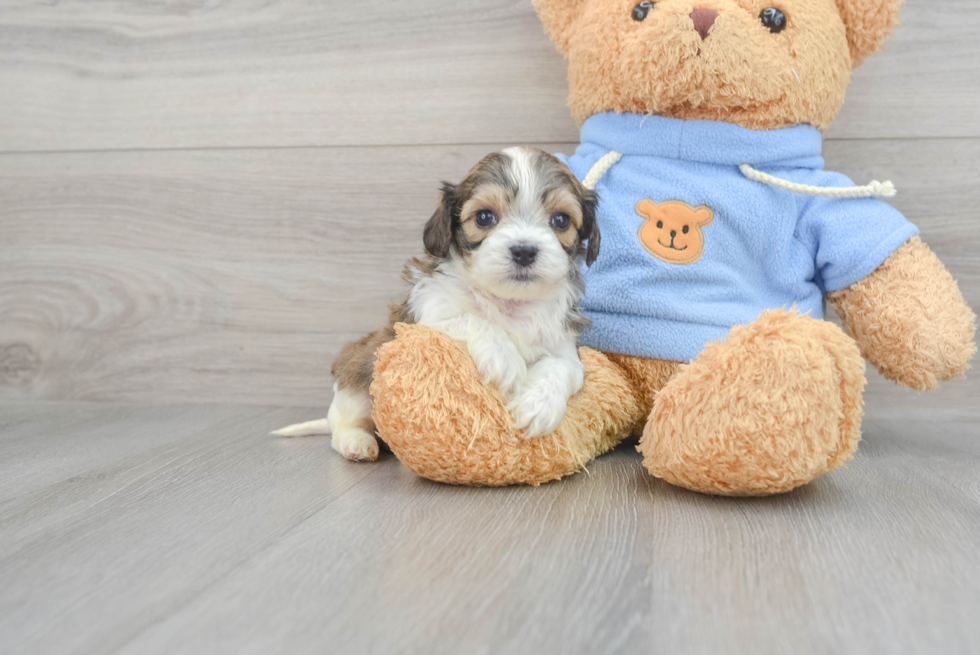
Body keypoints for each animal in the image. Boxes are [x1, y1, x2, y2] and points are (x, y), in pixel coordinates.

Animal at [272, 146, 600, 464]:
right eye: (484, 217)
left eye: (561, 220)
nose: (524, 251)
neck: (508, 303)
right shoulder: (424, 319)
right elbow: (473, 319)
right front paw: (503, 357)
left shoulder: (564, 346)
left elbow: (560, 367)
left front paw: (539, 405)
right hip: (360, 368)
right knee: (343, 421)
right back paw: (357, 442)